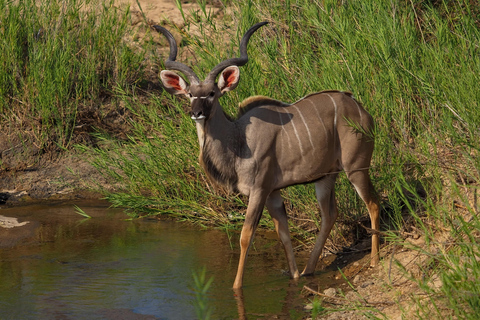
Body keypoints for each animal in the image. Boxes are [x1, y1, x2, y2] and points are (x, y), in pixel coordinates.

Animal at [156, 21, 380, 288]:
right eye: (190, 94)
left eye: (212, 93)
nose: (197, 112)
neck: (239, 139)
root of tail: (362, 111)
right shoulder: (273, 192)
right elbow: (283, 233)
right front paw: (295, 276)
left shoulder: (259, 190)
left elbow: (246, 236)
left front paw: (236, 287)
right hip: (325, 177)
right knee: (329, 214)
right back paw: (308, 270)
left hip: (356, 168)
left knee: (373, 203)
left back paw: (374, 261)